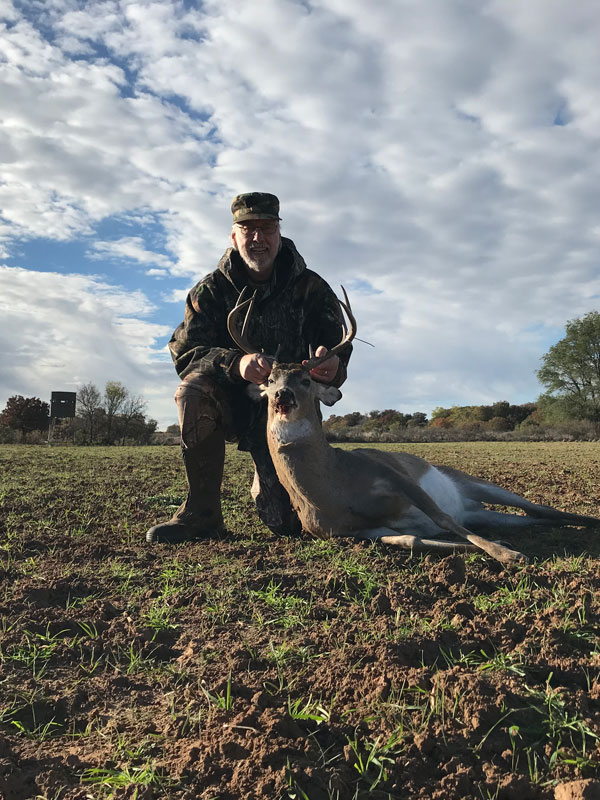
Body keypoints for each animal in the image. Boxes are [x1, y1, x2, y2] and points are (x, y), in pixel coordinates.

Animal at [227, 288, 600, 564]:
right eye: (270, 380)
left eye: (305, 380)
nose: (282, 396)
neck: (333, 486)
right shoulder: (352, 531)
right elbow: (412, 539)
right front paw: (490, 549)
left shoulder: (393, 474)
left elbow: (442, 517)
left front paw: (509, 554)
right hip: (480, 511)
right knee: (528, 518)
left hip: (470, 480)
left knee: (537, 507)